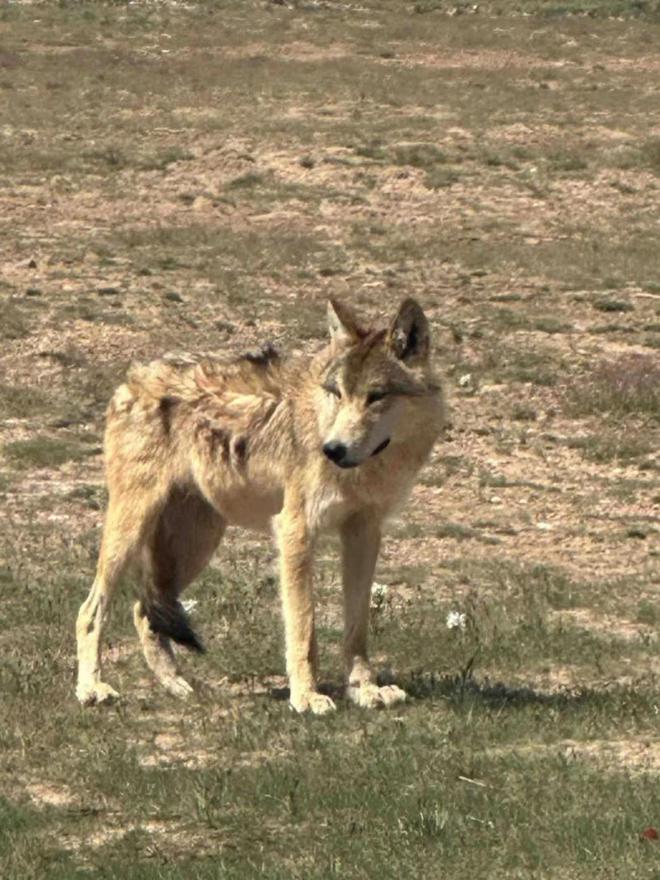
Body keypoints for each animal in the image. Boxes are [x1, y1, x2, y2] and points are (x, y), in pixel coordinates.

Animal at [75, 300, 446, 712]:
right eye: (337, 392)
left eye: (376, 396)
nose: (332, 450)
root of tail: (132, 376)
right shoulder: (295, 530)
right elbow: (304, 628)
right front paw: (307, 697)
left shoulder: (364, 532)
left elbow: (357, 627)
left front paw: (365, 689)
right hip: (132, 530)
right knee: (90, 610)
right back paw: (91, 688)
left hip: (196, 545)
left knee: (143, 610)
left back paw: (177, 686)